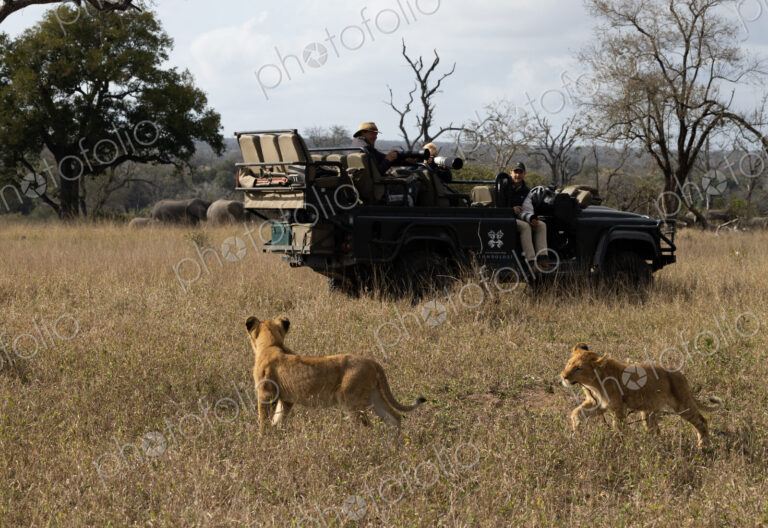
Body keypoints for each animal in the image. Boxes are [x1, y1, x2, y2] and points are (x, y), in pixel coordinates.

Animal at [245, 315, 426, 435]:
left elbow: (264, 420)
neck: (271, 344)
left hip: (350, 399)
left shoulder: (266, 394)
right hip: (373, 396)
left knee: (366, 426)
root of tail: (373, 362)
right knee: (394, 417)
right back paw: (395, 446)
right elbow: (278, 419)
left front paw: (263, 440)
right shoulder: (287, 399)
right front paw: (276, 436)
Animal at [560, 343, 721, 449]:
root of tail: (680, 374)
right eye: (568, 363)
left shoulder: (618, 407)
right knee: (655, 430)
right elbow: (576, 413)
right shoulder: (597, 404)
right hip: (650, 411)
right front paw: (577, 431)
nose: (564, 376)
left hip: (682, 404)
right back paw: (655, 446)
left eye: (579, 368)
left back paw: (703, 446)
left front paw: (619, 446)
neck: (592, 384)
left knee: (701, 421)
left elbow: (619, 427)